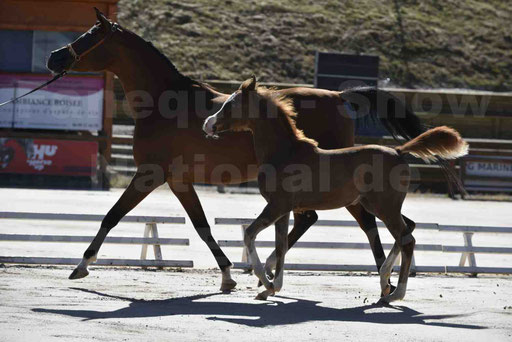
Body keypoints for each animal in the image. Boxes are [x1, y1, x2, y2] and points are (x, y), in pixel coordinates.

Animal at [203, 77, 468, 302]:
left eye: (230, 104)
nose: (208, 124)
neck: (285, 152)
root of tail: (398, 151)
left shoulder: (277, 205)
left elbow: (250, 234)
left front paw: (266, 283)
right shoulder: (284, 208)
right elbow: (281, 245)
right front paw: (271, 287)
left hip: (384, 207)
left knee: (407, 239)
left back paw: (395, 294)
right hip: (377, 205)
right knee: (406, 231)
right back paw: (384, 281)